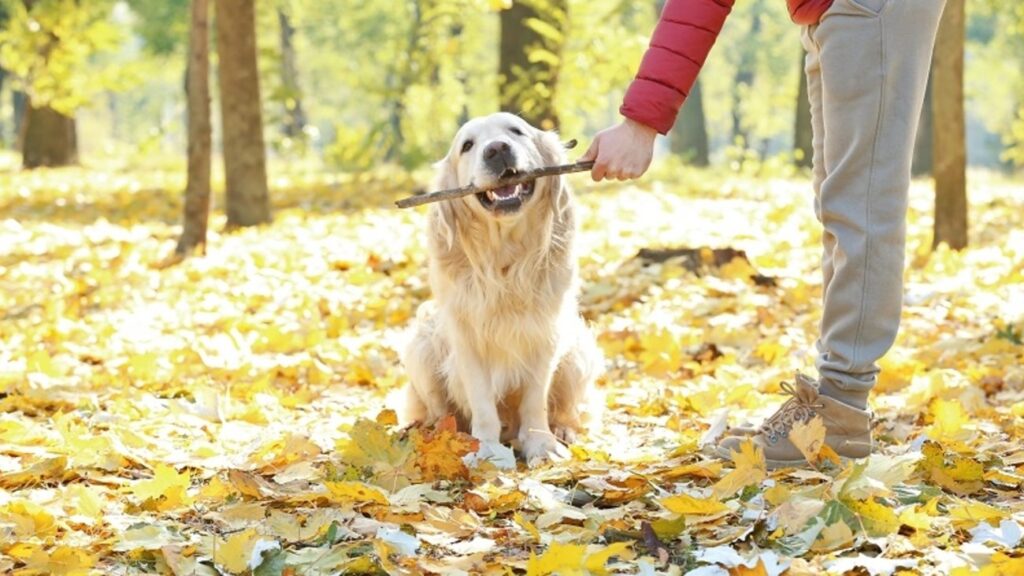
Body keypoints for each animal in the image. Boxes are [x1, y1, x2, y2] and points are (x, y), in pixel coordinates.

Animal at [399, 111, 602, 461]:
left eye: (516, 131)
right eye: (467, 145)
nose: (496, 150)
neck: (504, 258)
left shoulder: (544, 333)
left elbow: (536, 399)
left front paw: (542, 445)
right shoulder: (466, 336)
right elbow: (481, 401)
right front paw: (488, 451)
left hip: (580, 351)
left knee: (568, 408)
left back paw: (564, 429)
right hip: (421, 348)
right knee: (438, 410)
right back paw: (436, 435)